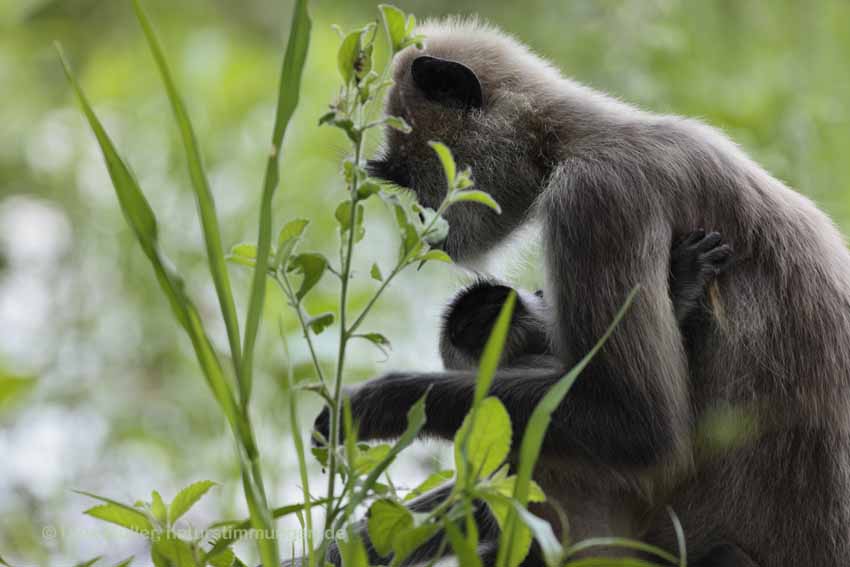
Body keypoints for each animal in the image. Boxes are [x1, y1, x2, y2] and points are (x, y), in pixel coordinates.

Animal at [312, 18, 848, 567]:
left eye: (413, 178)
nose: (426, 220)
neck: (572, 138)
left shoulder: (596, 194)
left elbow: (639, 428)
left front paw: (375, 405)